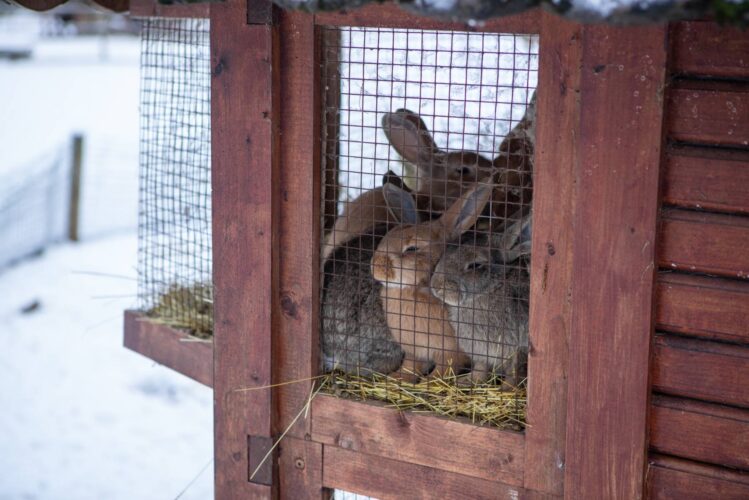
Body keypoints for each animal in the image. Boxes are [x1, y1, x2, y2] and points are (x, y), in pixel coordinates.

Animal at [370, 182, 494, 381]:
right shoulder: (415, 350)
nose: (376, 267)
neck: (412, 289)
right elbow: (411, 366)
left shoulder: (450, 350)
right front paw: (397, 378)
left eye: (412, 249)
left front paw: (429, 381)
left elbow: (446, 367)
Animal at [430, 212, 533, 387]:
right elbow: (481, 367)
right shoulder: (480, 350)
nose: (436, 286)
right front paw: (467, 381)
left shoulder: (517, 348)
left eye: (475, 265)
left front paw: (507, 389)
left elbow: (514, 371)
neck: (490, 290)